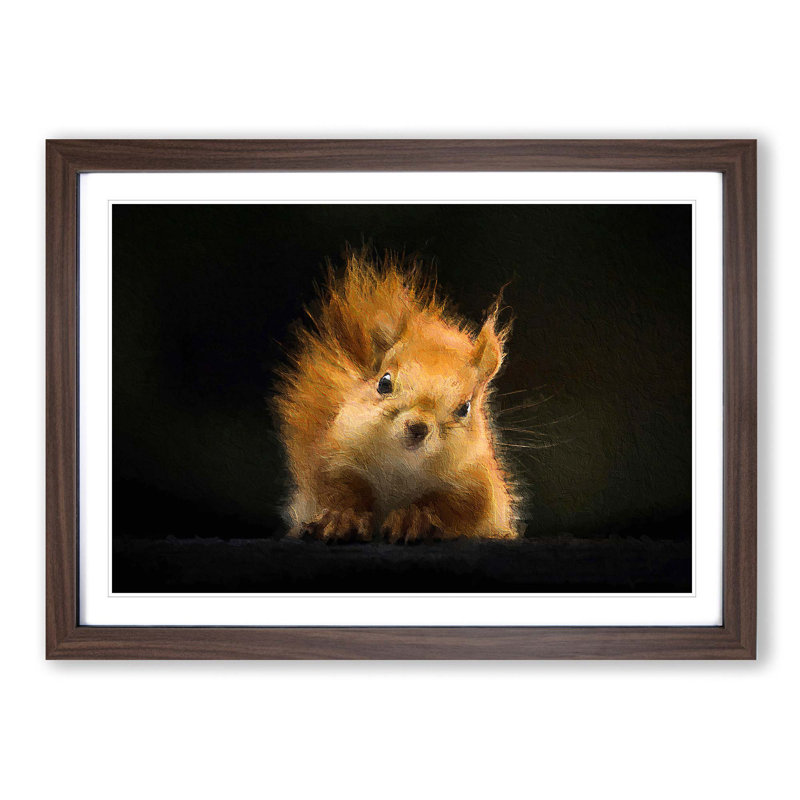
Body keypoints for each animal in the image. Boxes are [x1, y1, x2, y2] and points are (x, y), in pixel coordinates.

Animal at [275, 249, 518, 543]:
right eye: (384, 383)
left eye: (465, 408)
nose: (418, 427)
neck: (401, 468)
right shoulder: (334, 457)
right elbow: (338, 490)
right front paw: (341, 517)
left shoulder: (477, 484)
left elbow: (455, 507)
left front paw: (413, 519)